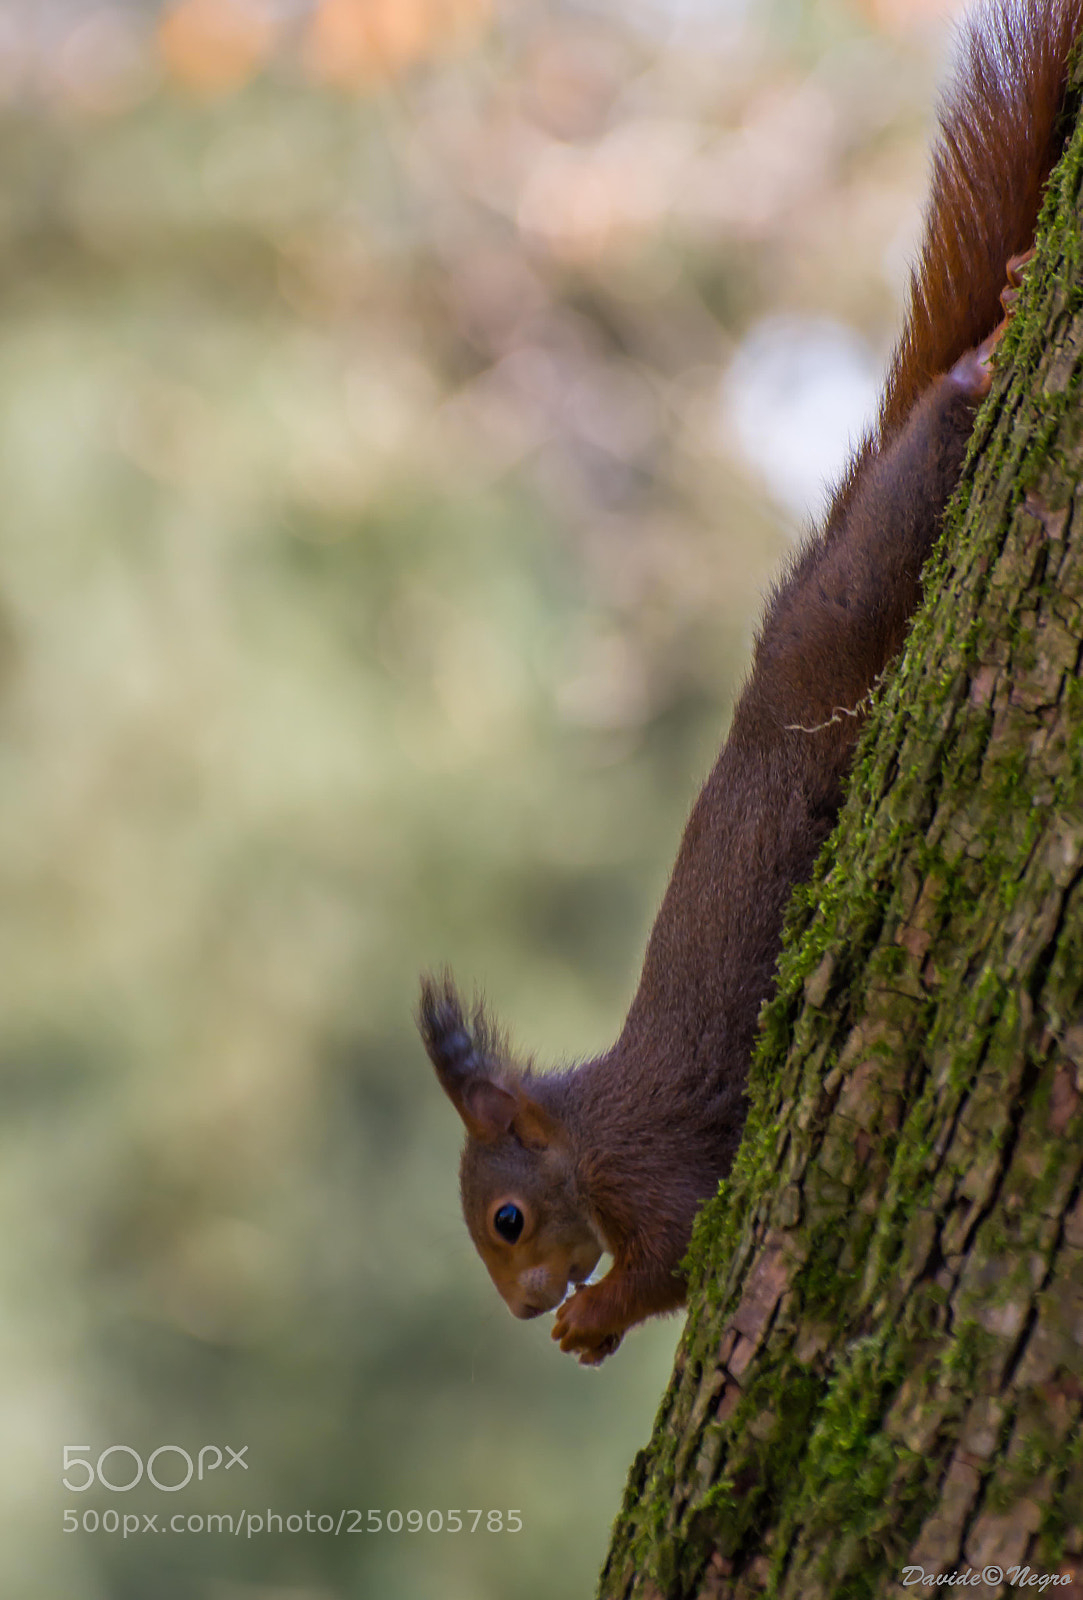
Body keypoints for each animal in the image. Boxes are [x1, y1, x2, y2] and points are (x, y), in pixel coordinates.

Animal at [418, 0, 1083, 1365]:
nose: (523, 1305)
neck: (585, 1137)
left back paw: (983, 358)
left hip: (862, 598)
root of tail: (777, 644)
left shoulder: (656, 1170)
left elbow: (674, 1255)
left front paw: (597, 1316)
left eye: (507, 1218)